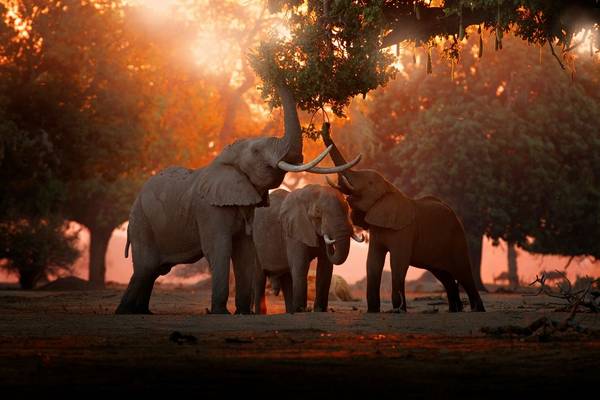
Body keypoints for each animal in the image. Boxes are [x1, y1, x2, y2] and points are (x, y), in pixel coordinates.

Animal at [252, 186, 364, 314]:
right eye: (318, 213)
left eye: (348, 209)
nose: (330, 241)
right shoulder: (294, 231)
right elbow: (301, 265)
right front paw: (301, 310)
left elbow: (325, 267)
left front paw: (320, 310)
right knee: (260, 278)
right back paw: (264, 313)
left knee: (286, 278)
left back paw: (290, 311)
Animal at [322, 126, 486, 314]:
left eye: (370, 183)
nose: (327, 125)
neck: (390, 187)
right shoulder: (378, 228)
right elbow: (373, 262)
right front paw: (373, 311)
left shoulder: (404, 230)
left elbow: (398, 262)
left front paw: (399, 310)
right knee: (444, 276)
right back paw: (454, 310)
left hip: (457, 238)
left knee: (463, 273)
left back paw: (478, 310)